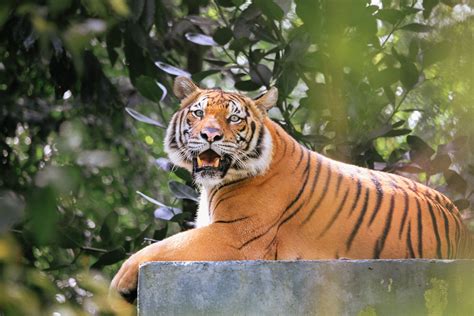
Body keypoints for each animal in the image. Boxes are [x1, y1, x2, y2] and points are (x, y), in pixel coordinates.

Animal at [109, 76, 472, 302]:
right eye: (198, 113)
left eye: (234, 119)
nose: (209, 135)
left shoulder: (233, 236)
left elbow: (160, 248)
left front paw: (118, 284)